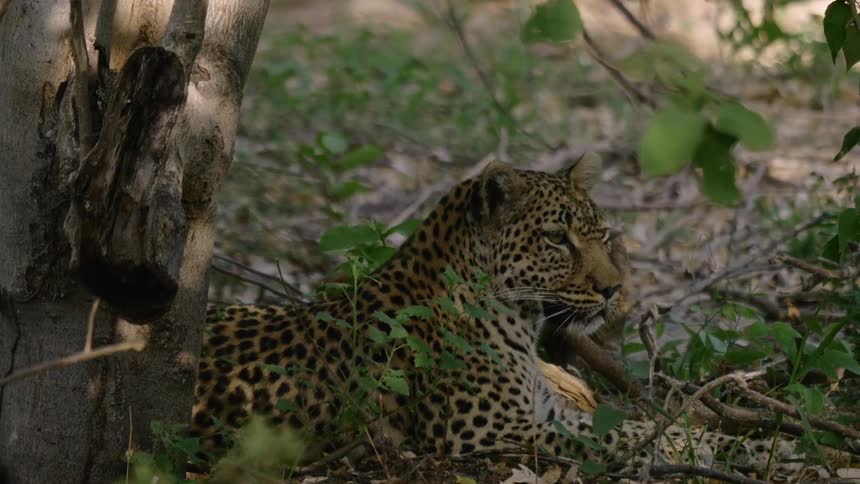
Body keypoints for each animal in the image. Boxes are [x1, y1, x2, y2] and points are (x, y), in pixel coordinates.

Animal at [190, 154, 809, 476]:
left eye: (601, 233)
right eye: (557, 239)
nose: (613, 289)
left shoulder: (542, 412)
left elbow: (642, 425)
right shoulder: (493, 430)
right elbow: (633, 435)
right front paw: (760, 450)